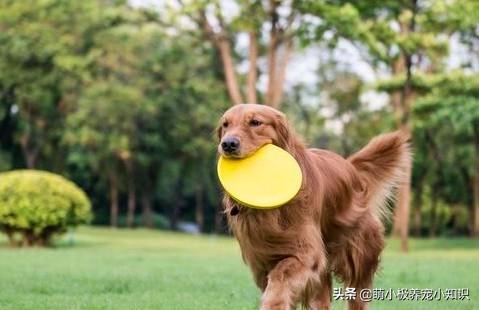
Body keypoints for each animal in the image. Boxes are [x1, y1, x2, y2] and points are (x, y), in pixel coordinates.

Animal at [219, 103, 410, 308]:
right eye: (225, 125)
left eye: (255, 122)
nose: (228, 144)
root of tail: (351, 167)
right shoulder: (261, 260)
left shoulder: (308, 252)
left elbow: (281, 274)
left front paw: (274, 303)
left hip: (359, 256)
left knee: (357, 295)